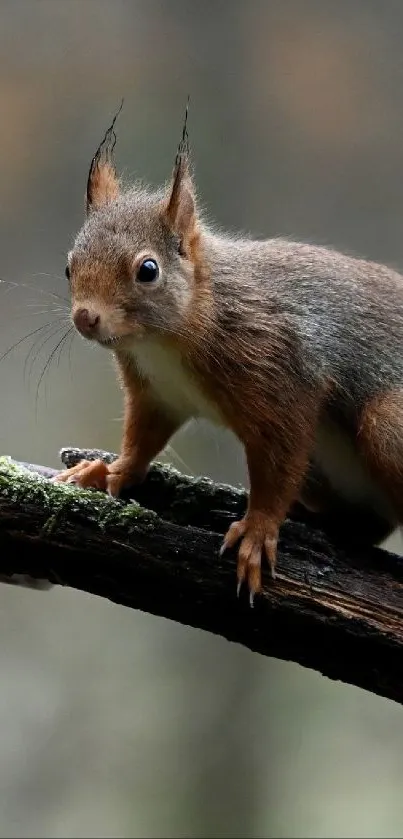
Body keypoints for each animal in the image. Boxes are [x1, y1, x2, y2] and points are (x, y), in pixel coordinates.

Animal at [54, 103, 403, 604]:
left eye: (148, 270)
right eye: (69, 266)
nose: (86, 317)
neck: (165, 340)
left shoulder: (282, 372)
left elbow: (278, 463)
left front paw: (257, 531)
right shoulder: (157, 394)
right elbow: (142, 439)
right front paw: (106, 470)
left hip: (388, 425)